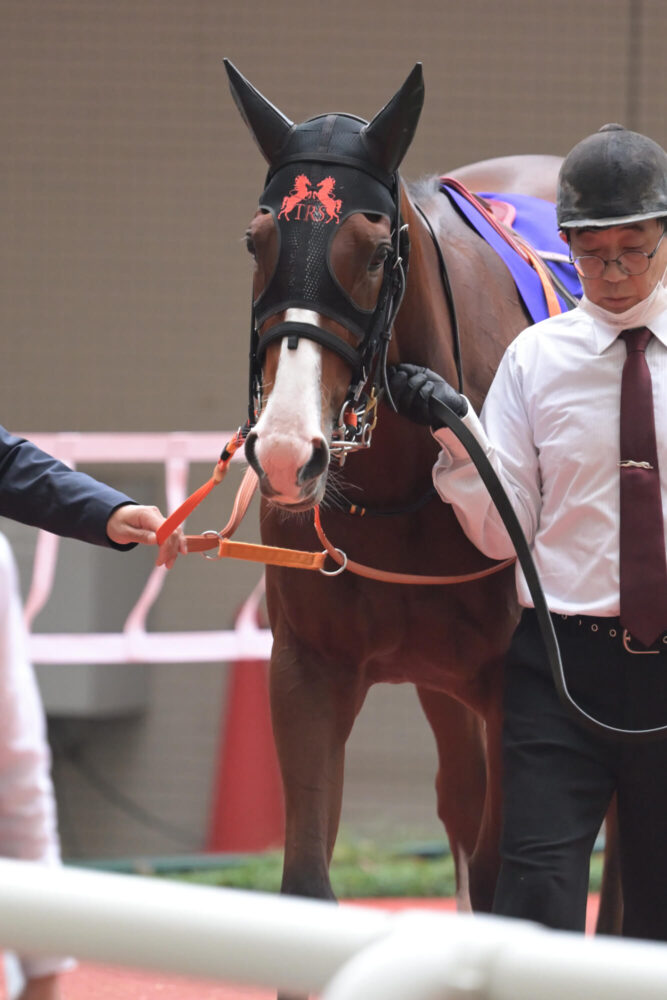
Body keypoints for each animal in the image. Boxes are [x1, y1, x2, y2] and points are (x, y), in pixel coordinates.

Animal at [224, 62, 620, 932]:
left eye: (374, 252)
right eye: (255, 240)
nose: (285, 451)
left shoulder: (517, 692)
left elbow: (510, 880)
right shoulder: (308, 669)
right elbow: (307, 884)